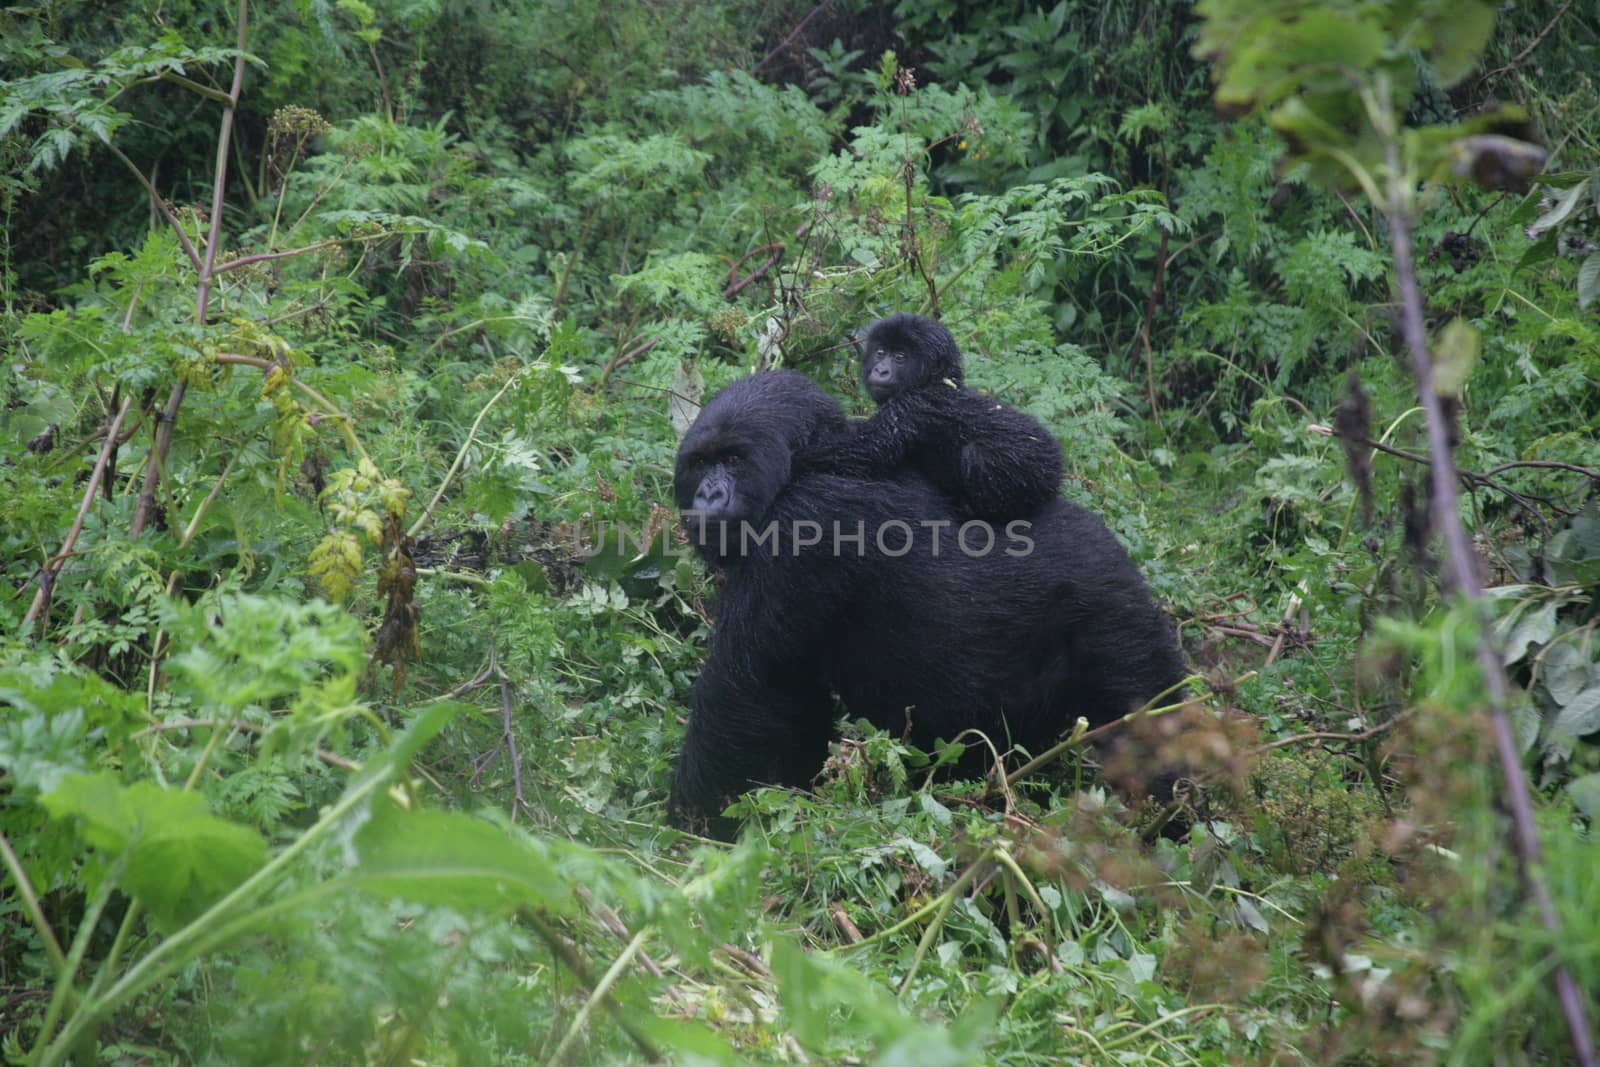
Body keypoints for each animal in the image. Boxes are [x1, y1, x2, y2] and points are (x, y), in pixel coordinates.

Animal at [668, 371, 1184, 838]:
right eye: (701, 462)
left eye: (734, 459)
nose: (709, 493)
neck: (810, 465)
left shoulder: (800, 527)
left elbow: (743, 696)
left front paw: (690, 830)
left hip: (1115, 615)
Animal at [851, 313, 1062, 521]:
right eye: (880, 353)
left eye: (899, 357)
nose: (881, 370)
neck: (936, 381)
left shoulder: (912, 406)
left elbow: (862, 452)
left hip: (1042, 469)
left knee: (976, 455)